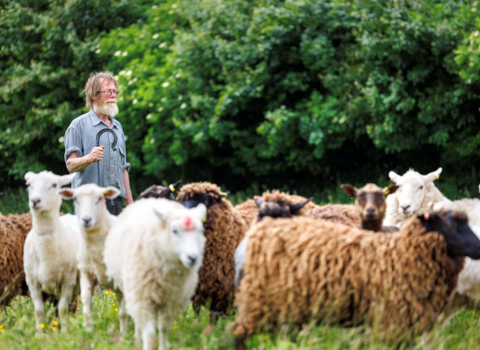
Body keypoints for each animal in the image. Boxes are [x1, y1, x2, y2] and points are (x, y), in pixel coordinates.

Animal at [23, 171, 82, 332]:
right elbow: (38, 310)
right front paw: (39, 333)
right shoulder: (32, 282)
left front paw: (65, 332)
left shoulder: (68, 281)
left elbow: (63, 309)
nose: (34, 201)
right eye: (29, 184)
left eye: (54, 185)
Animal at [58, 183, 126, 330]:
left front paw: (125, 332)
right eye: (75, 198)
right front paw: (88, 329)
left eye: (100, 198)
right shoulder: (86, 272)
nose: (86, 219)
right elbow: (86, 300)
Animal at [103, 198, 206, 348]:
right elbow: (149, 331)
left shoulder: (171, 300)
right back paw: (136, 340)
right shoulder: (142, 297)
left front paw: (163, 347)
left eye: (201, 230)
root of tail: (153, 199)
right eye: (174, 230)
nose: (192, 258)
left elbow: (164, 328)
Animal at [232, 209, 480, 346]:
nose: (479, 247)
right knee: (239, 333)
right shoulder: (391, 321)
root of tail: (253, 236)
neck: (401, 255)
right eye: (449, 224)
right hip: (257, 298)